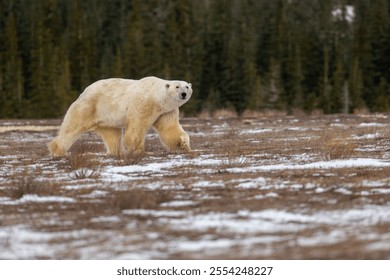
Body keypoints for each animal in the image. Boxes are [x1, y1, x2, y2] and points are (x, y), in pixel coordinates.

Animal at [48, 76, 193, 158]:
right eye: (177, 86)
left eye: (186, 86)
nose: (184, 94)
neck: (157, 98)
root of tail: (84, 92)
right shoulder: (143, 104)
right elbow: (137, 125)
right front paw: (136, 149)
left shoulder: (166, 112)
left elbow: (170, 128)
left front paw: (183, 144)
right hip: (89, 107)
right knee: (72, 127)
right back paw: (59, 150)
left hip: (106, 119)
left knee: (112, 135)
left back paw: (117, 152)